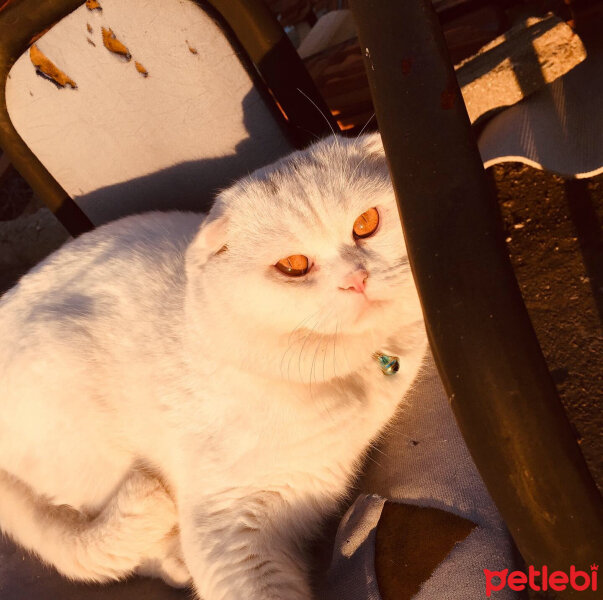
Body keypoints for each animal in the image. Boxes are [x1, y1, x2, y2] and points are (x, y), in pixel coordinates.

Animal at [0, 135, 428, 600]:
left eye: (366, 223)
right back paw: (174, 564)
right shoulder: (229, 522)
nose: (357, 279)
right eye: (294, 266)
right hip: (87, 447)